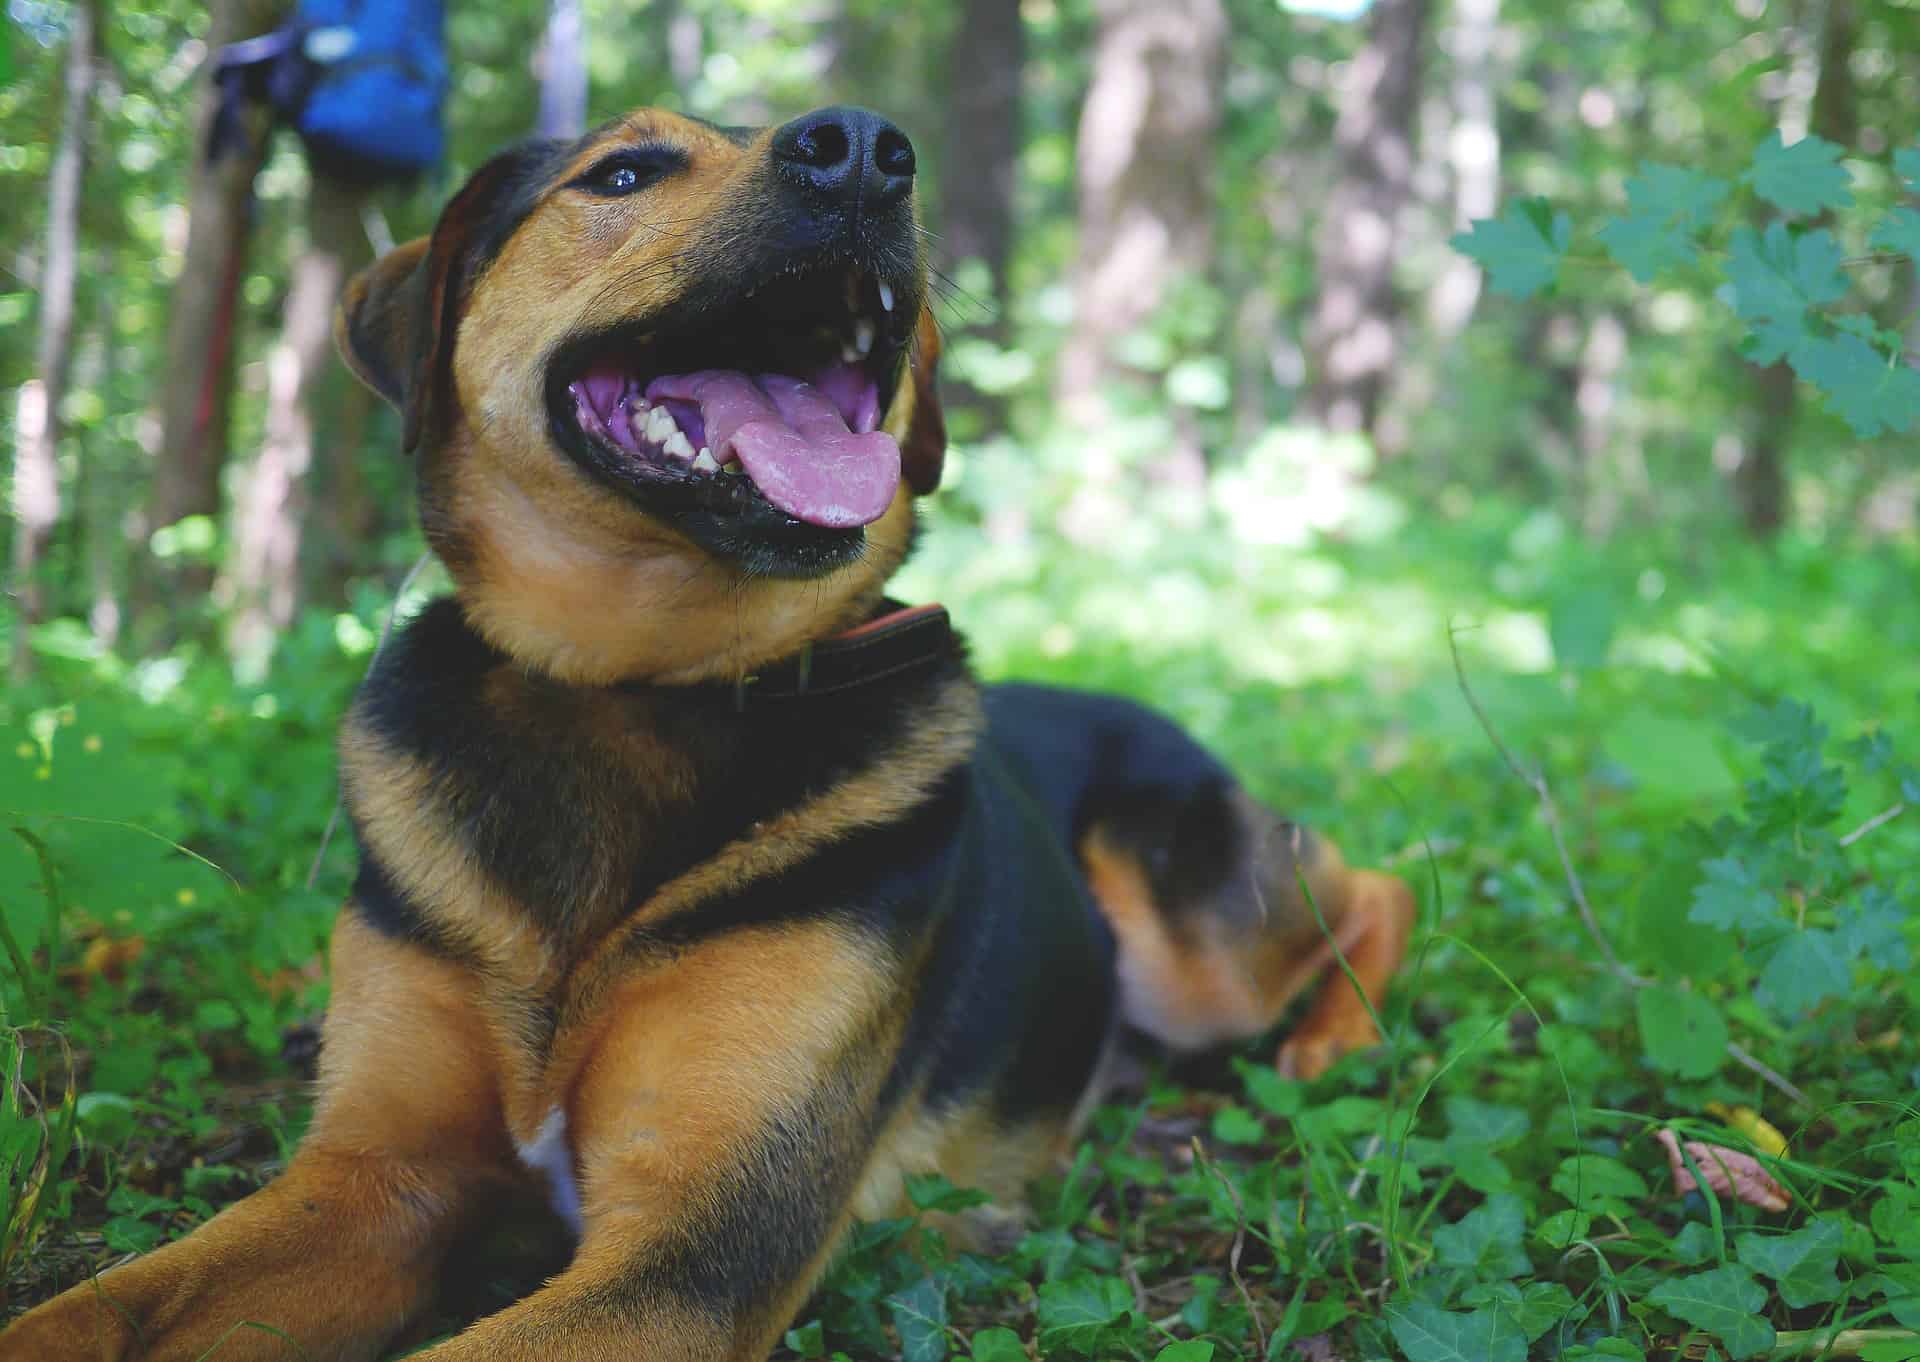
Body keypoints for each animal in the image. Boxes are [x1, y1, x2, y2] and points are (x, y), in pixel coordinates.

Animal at [7, 109, 1420, 1360]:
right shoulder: (371, 1178)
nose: (867, 150)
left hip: (1194, 939)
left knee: (1374, 886)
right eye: (625, 171)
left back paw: (1337, 1040)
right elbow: (99, 1308)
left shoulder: (694, 1256)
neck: (636, 682)